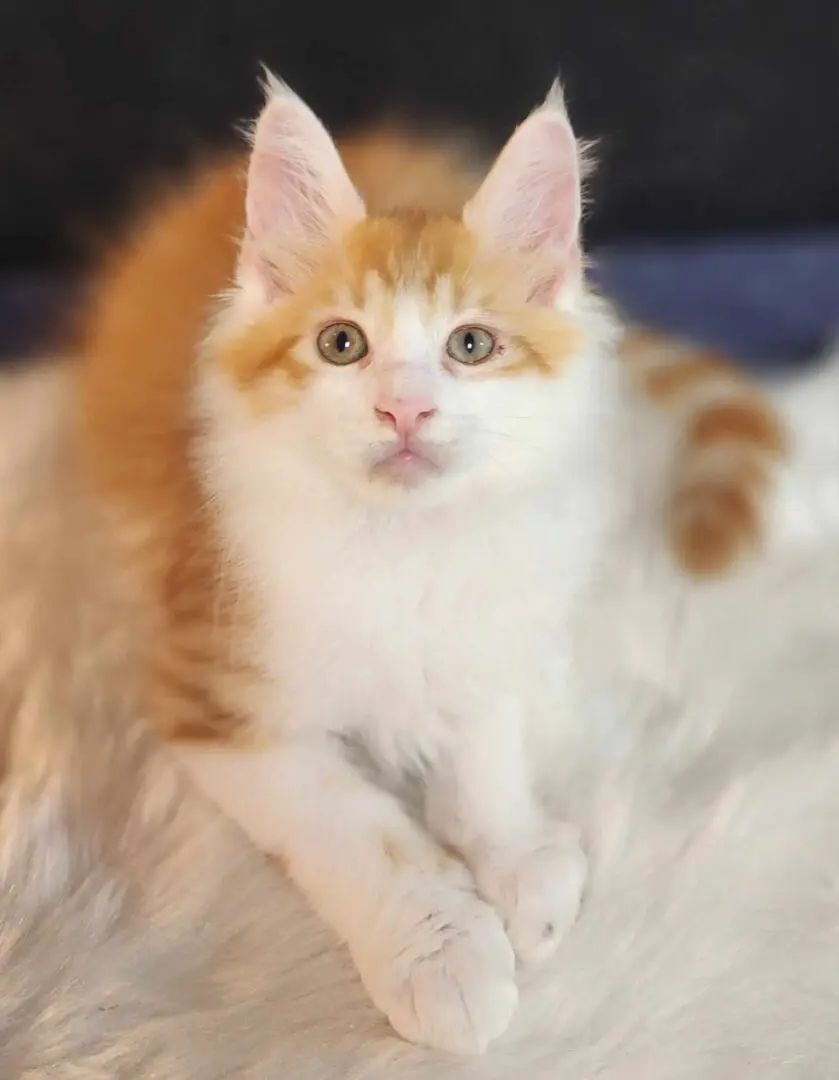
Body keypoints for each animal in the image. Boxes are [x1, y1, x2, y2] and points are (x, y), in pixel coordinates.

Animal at [73, 78, 786, 1054]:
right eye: (342, 344)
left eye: (469, 346)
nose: (404, 408)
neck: (403, 546)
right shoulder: (213, 693)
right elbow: (361, 829)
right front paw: (445, 955)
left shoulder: (487, 619)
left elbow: (481, 738)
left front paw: (513, 854)